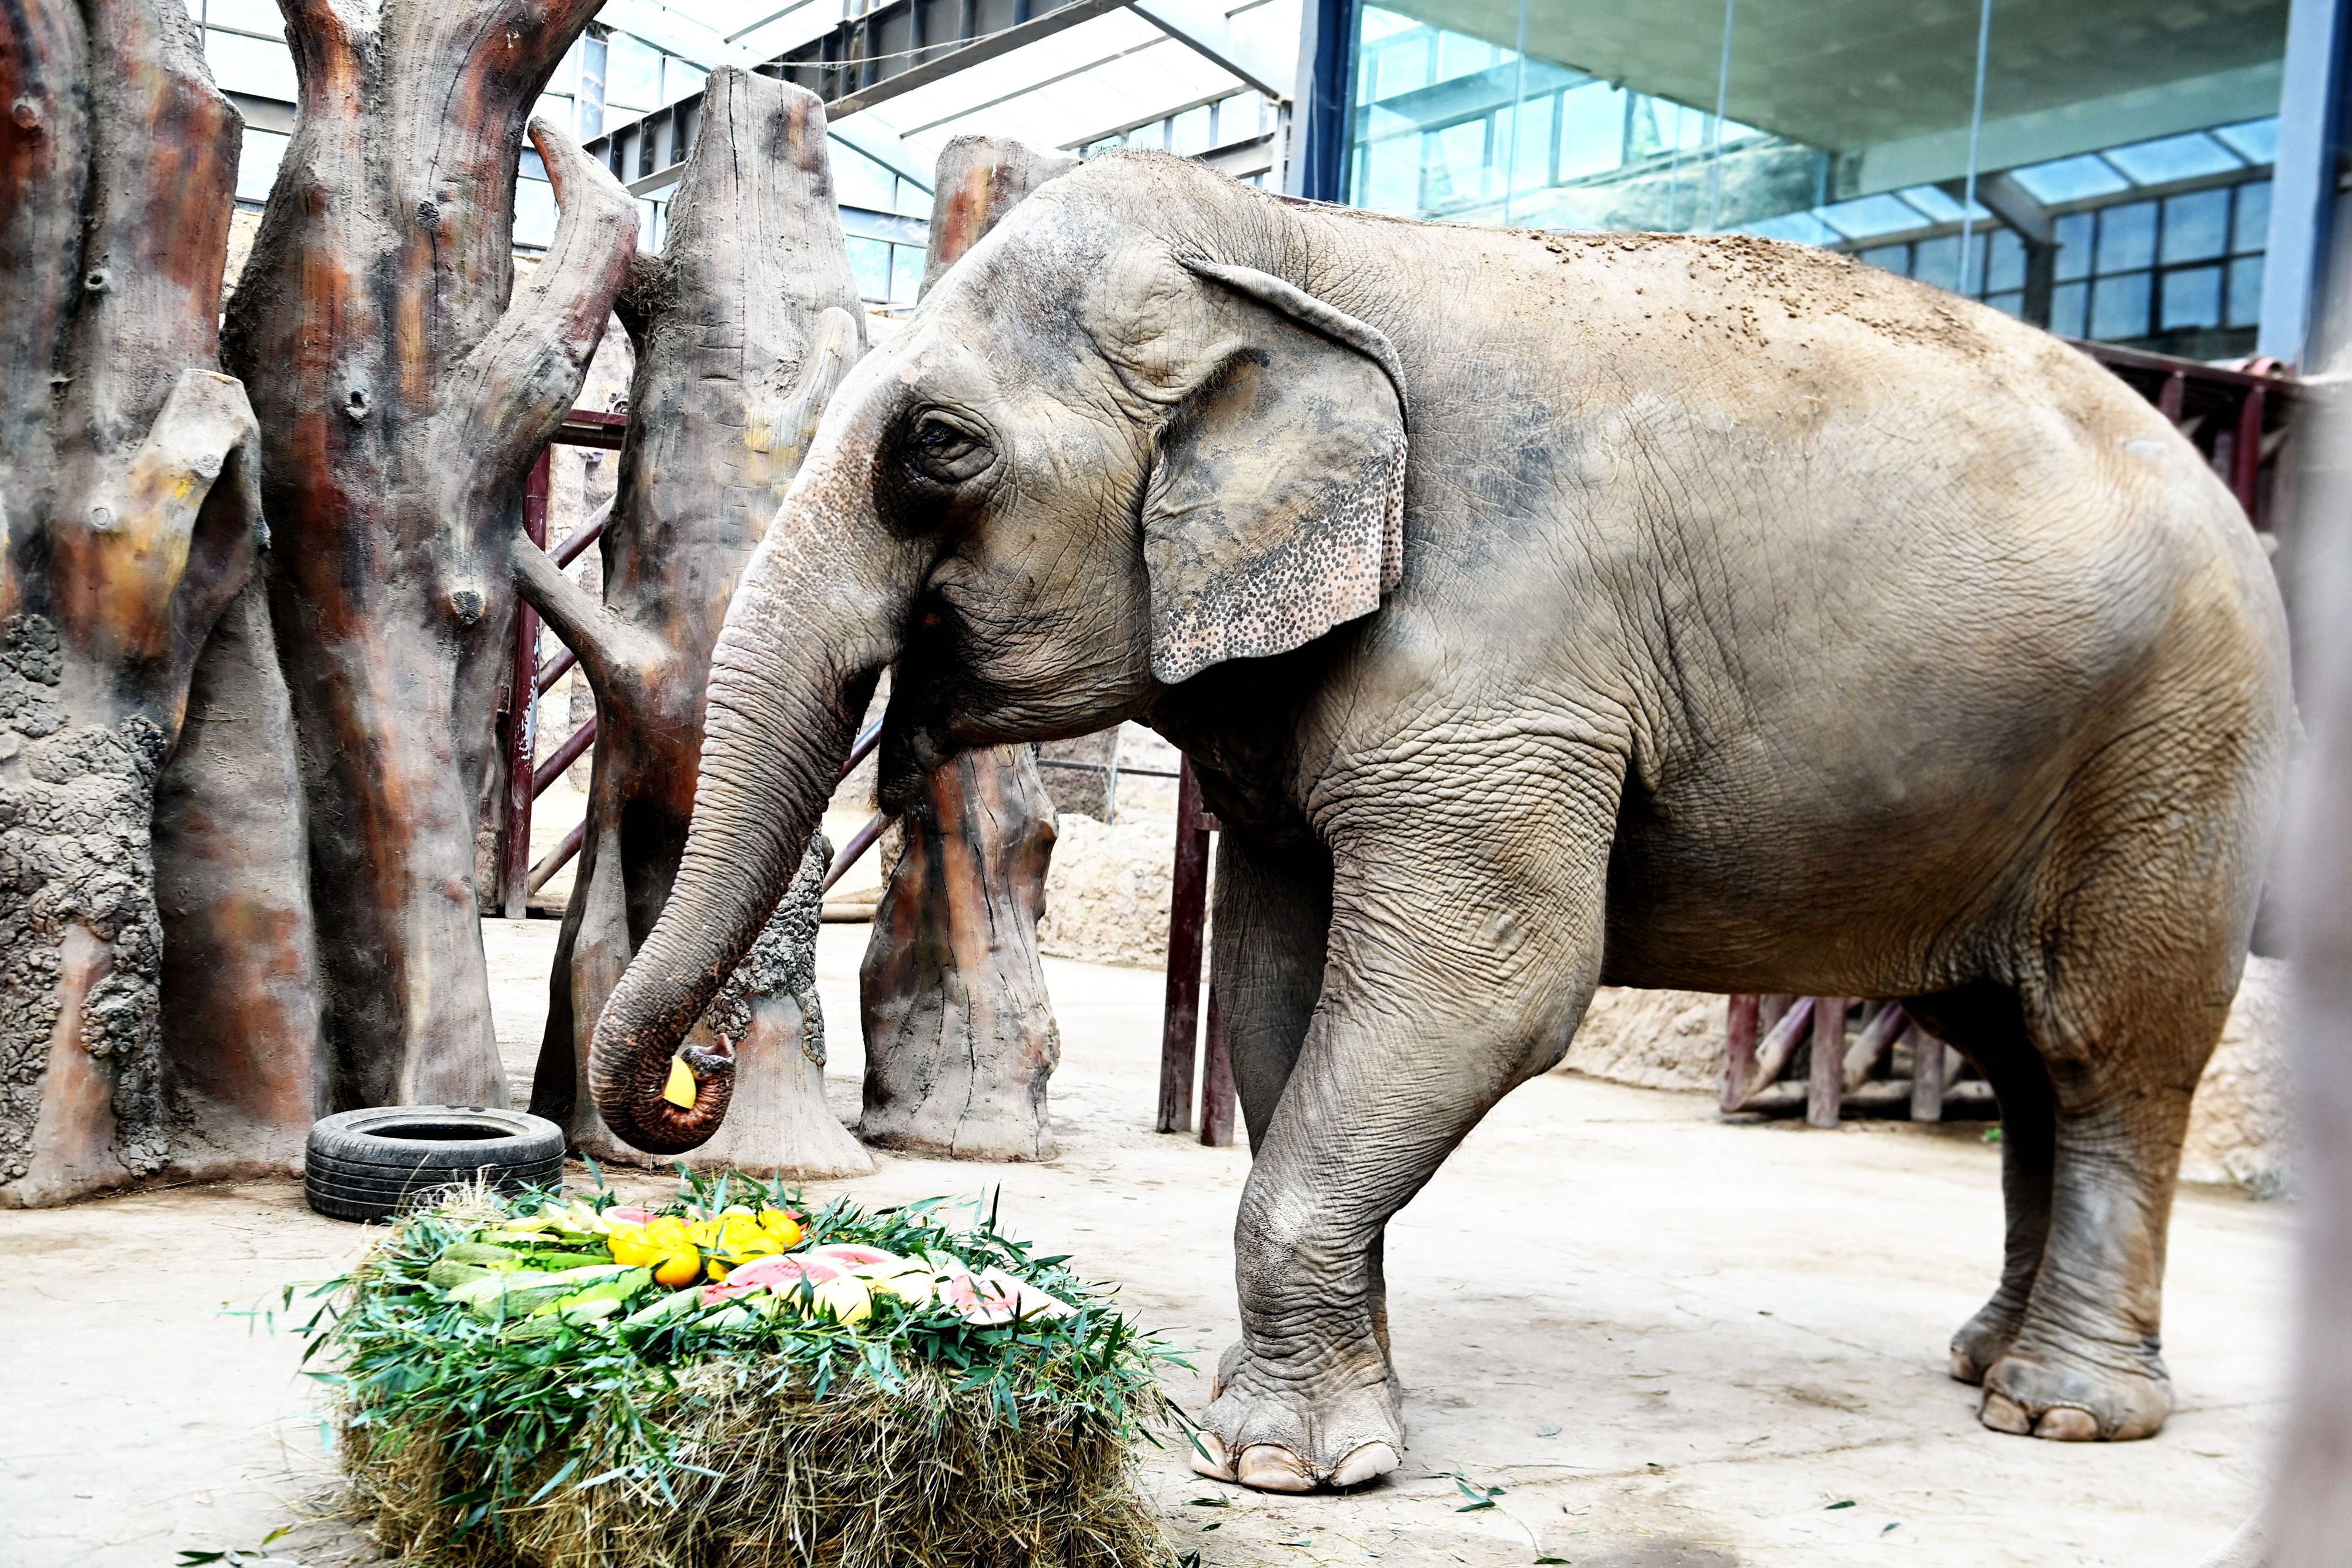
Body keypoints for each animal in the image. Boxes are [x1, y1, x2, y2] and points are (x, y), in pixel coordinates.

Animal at [593, 150, 2296, 1495]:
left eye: (937, 448)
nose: (699, 1074)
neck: (1301, 245)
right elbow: (1280, 985)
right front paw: (1307, 1420)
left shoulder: (1506, 653)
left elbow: (1489, 985)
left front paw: (1283, 1465)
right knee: (2018, 1051)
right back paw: (1980, 1363)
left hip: (2178, 749)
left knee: (2108, 1048)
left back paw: (2064, 1416)